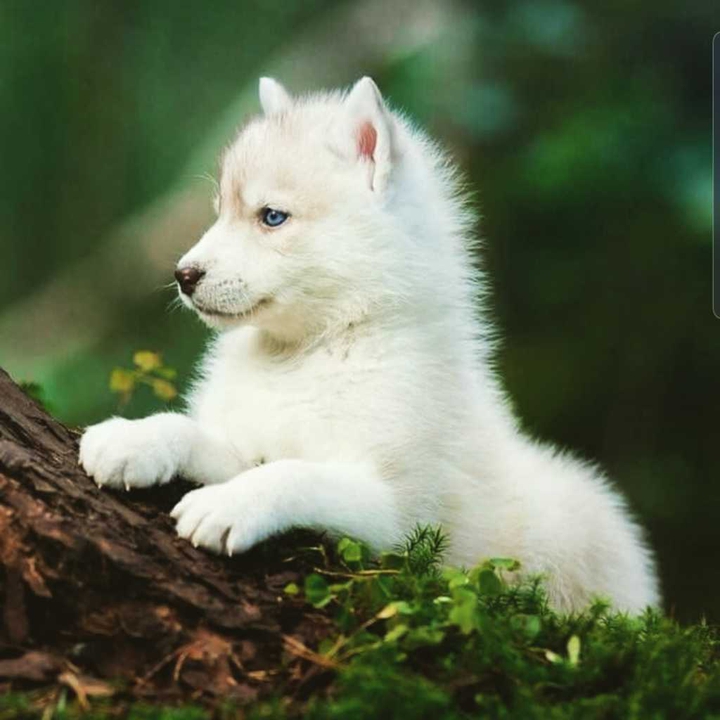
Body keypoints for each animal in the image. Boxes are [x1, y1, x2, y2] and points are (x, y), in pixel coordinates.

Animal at [79, 77, 660, 612]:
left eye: (272, 217)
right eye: (220, 210)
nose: (183, 275)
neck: (317, 347)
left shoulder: (402, 517)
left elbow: (295, 474)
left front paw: (229, 505)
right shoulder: (252, 444)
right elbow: (199, 434)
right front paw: (134, 439)